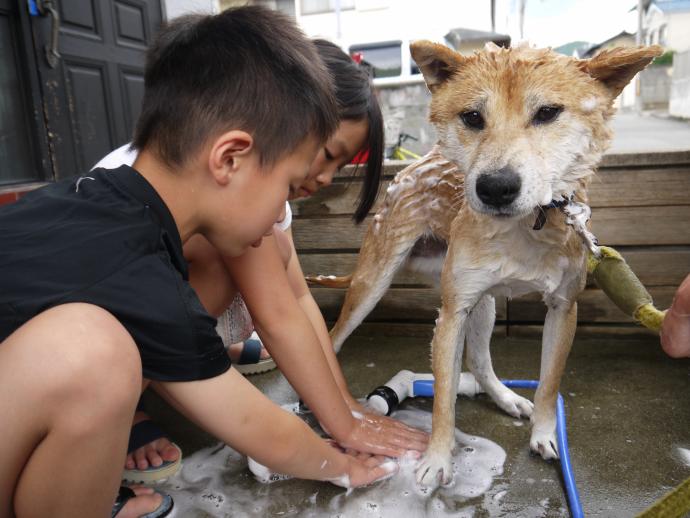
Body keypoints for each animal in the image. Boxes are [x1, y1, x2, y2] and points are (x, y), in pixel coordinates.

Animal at [310, 41, 660, 488]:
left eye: (548, 112)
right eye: (473, 117)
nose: (495, 187)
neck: (525, 227)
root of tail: (411, 165)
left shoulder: (564, 308)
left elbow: (549, 384)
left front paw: (545, 435)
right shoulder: (452, 312)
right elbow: (442, 399)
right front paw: (437, 459)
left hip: (485, 302)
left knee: (479, 361)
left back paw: (506, 398)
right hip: (375, 283)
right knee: (334, 337)